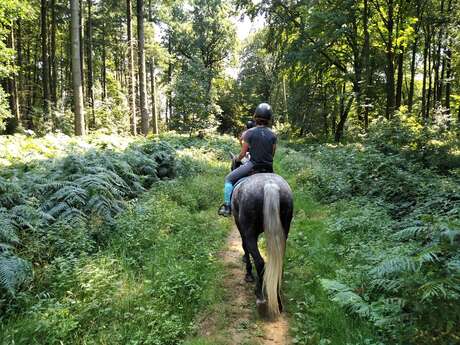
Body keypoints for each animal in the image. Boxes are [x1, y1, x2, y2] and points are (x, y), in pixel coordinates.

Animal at [230, 155, 294, 318]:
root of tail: (270, 186)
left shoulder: (241, 227)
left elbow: (244, 247)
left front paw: (248, 273)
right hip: (284, 230)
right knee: (278, 262)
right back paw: (278, 299)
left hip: (249, 231)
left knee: (260, 262)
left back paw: (260, 297)